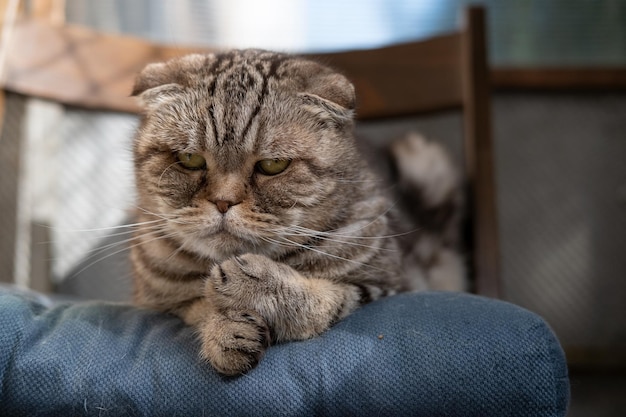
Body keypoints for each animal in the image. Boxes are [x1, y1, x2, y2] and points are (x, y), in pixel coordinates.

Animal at [130, 48, 464, 374]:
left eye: (273, 165)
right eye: (190, 159)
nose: (223, 202)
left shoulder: (390, 283)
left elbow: (326, 298)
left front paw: (252, 284)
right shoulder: (160, 302)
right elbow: (198, 306)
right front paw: (224, 331)